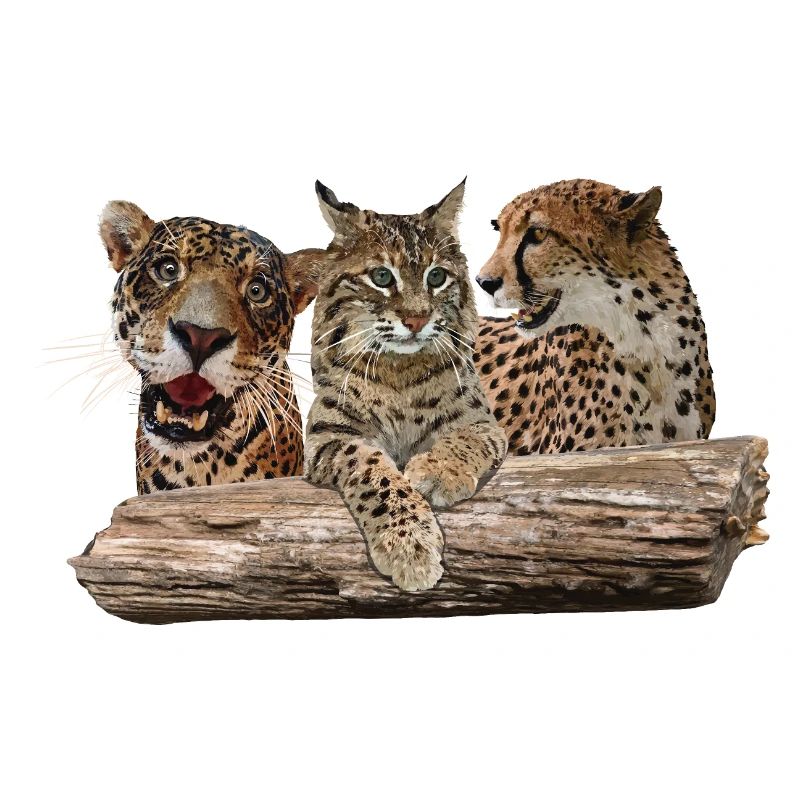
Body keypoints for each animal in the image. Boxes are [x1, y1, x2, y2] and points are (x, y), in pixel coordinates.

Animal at [304, 180, 508, 592]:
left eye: (436, 277)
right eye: (382, 277)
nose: (416, 320)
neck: (398, 369)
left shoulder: (482, 423)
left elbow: (464, 439)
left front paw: (440, 470)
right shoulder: (329, 435)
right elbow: (373, 471)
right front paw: (409, 546)